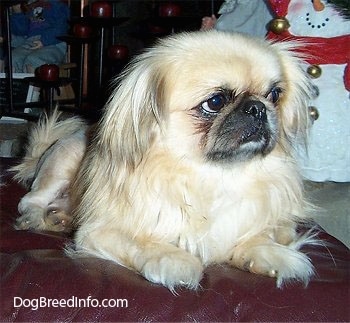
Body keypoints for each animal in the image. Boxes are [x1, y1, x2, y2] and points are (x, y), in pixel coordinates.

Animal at [13, 31, 318, 292]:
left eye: (274, 95)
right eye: (215, 102)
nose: (257, 108)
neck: (215, 177)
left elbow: (260, 235)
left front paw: (274, 255)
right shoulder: (98, 232)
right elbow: (145, 244)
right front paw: (175, 260)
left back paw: (61, 216)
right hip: (65, 159)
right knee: (30, 200)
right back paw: (38, 218)